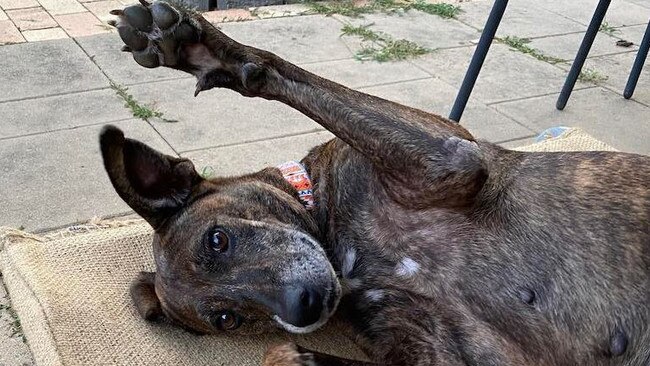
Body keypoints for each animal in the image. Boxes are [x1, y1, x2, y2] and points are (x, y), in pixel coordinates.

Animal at [98, 1, 644, 364]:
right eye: (226, 319)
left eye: (218, 239)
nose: (303, 306)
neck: (343, 251)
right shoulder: (434, 350)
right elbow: (287, 354)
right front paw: (297, 354)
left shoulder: (449, 159)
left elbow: (270, 71)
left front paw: (198, 48)